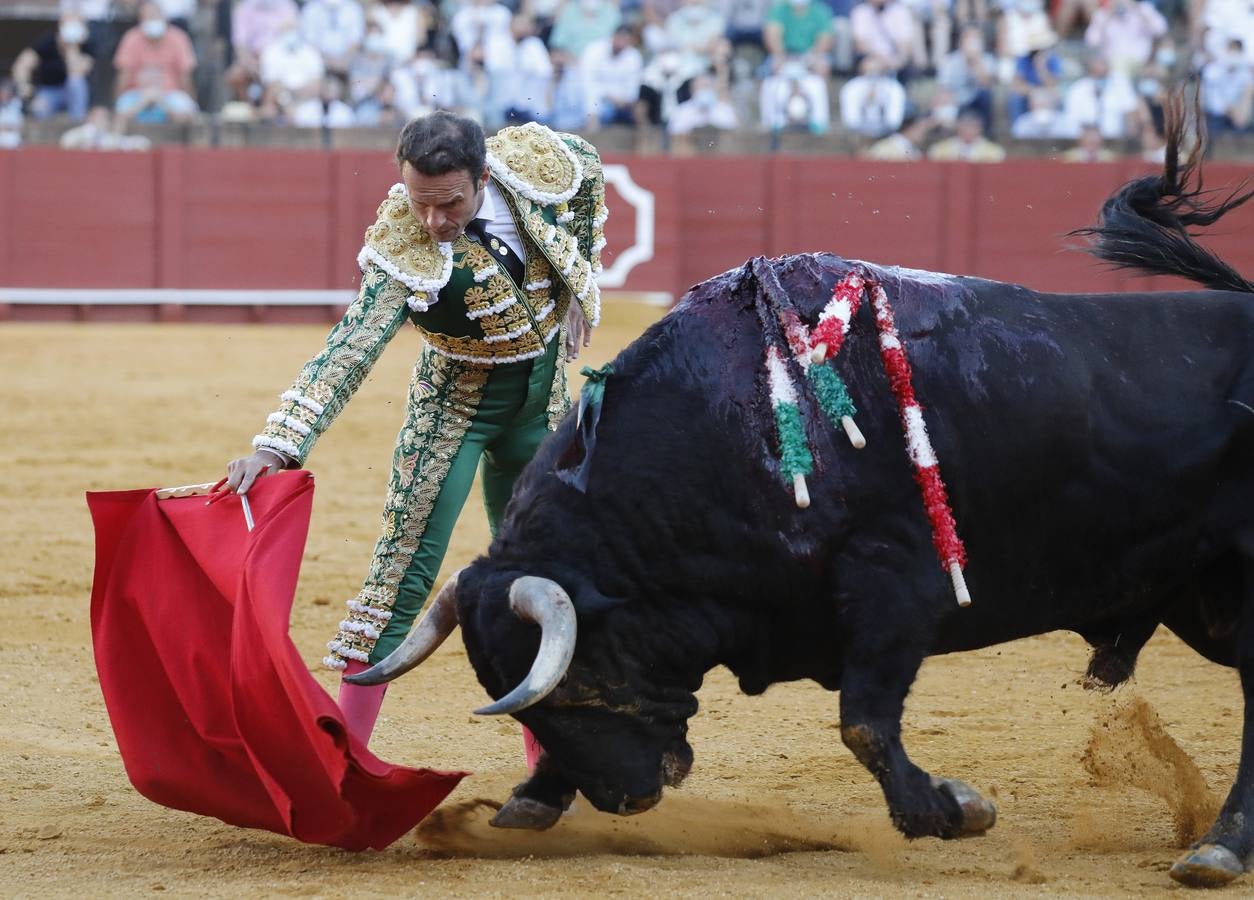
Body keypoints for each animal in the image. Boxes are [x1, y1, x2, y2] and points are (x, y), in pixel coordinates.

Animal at [348, 110, 1254, 887]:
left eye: (584, 686)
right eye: (537, 708)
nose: (626, 800)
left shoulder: (895, 585)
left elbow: (863, 721)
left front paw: (954, 809)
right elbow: (864, 722)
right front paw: (531, 802)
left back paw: (1217, 848)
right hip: (1195, 595)